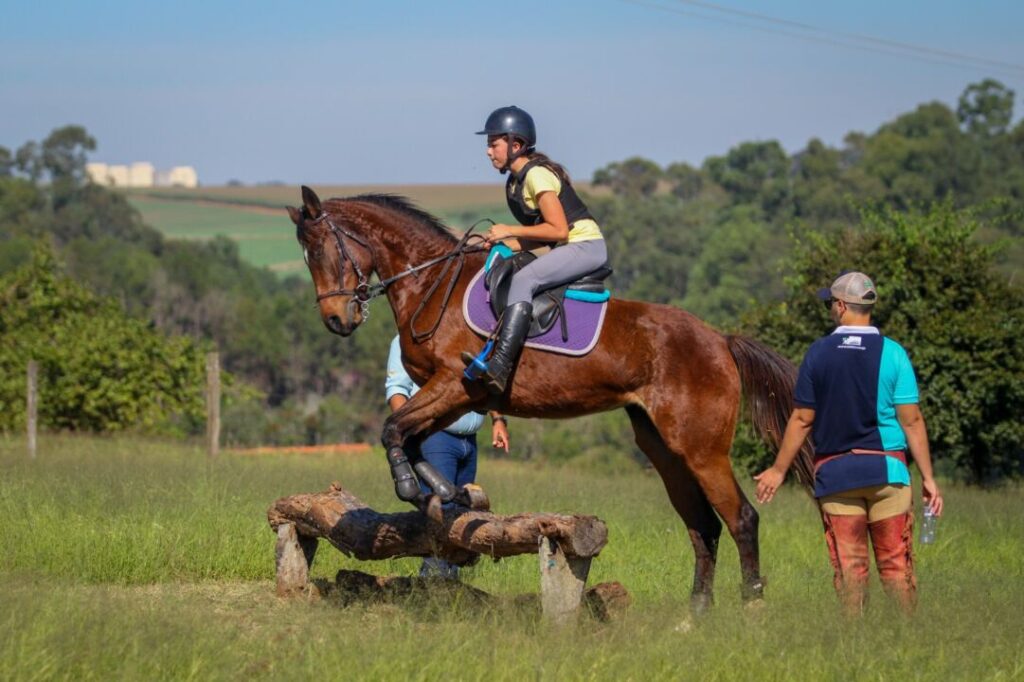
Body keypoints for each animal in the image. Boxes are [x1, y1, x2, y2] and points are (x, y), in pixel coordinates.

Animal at [288, 185, 813, 611]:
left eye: (322, 251)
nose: (336, 321)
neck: (432, 284)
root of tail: (720, 339)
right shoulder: (457, 397)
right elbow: (409, 436)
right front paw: (448, 494)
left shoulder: (454, 384)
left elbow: (392, 429)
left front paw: (413, 489)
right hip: (664, 448)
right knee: (702, 525)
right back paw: (696, 613)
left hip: (701, 448)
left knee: (741, 518)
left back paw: (750, 607)